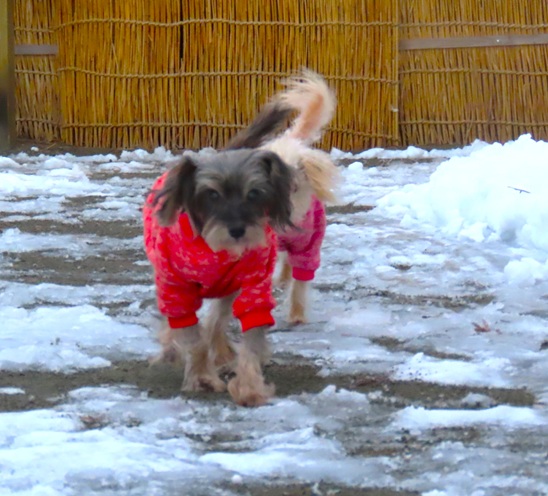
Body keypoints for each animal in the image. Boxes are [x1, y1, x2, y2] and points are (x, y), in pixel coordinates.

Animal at [143, 148, 293, 407]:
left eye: (253, 193)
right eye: (212, 193)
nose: (237, 230)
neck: (214, 250)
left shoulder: (254, 287)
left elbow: (250, 337)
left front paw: (249, 387)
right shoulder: (178, 290)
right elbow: (194, 338)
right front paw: (202, 377)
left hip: (229, 288)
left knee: (216, 322)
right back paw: (171, 350)